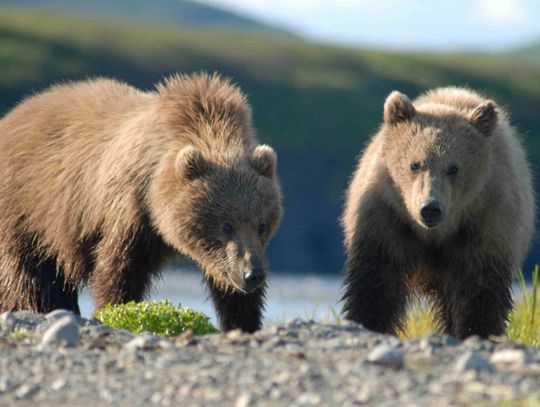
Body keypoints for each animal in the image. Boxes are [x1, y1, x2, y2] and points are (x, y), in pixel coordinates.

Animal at [0, 73, 282, 334]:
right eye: (226, 225)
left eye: (262, 225)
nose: (252, 274)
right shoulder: (130, 210)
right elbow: (120, 269)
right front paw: (115, 309)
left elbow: (230, 290)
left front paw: (244, 321)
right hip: (28, 212)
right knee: (30, 278)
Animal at [340, 87, 532, 342]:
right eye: (414, 164)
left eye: (454, 168)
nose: (430, 207)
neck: (434, 235)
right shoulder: (385, 220)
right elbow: (376, 283)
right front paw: (368, 322)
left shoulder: (486, 224)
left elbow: (480, 290)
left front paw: (477, 330)